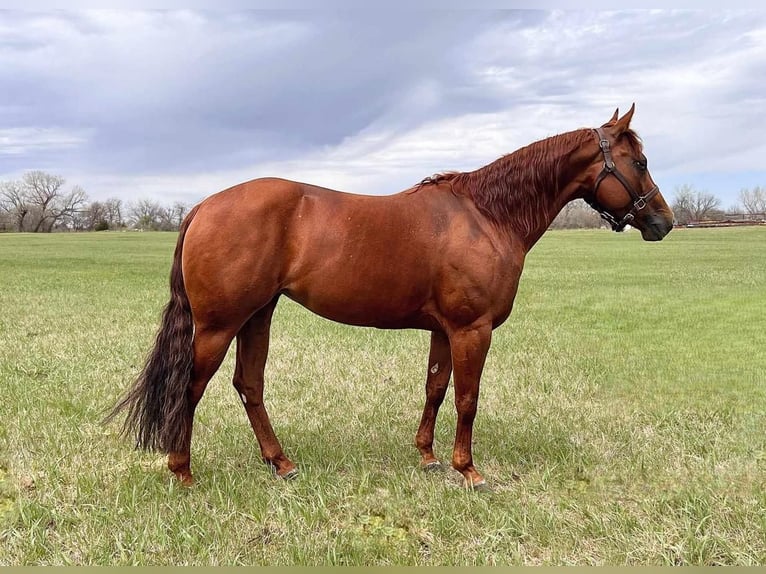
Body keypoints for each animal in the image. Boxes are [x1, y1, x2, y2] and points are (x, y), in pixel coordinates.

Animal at [106, 104, 672, 490]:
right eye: (640, 161)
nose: (663, 223)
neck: (486, 216)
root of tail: (204, 206)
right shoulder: (472, 330)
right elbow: (467, 398)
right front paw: (469, 470)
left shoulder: (445, 330)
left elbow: (436, 389)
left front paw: (428, 456)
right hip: (219, 325)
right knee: (191, 387)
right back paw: (182, 471)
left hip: (257, 315)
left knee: (249, 385)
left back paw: (281, 463)